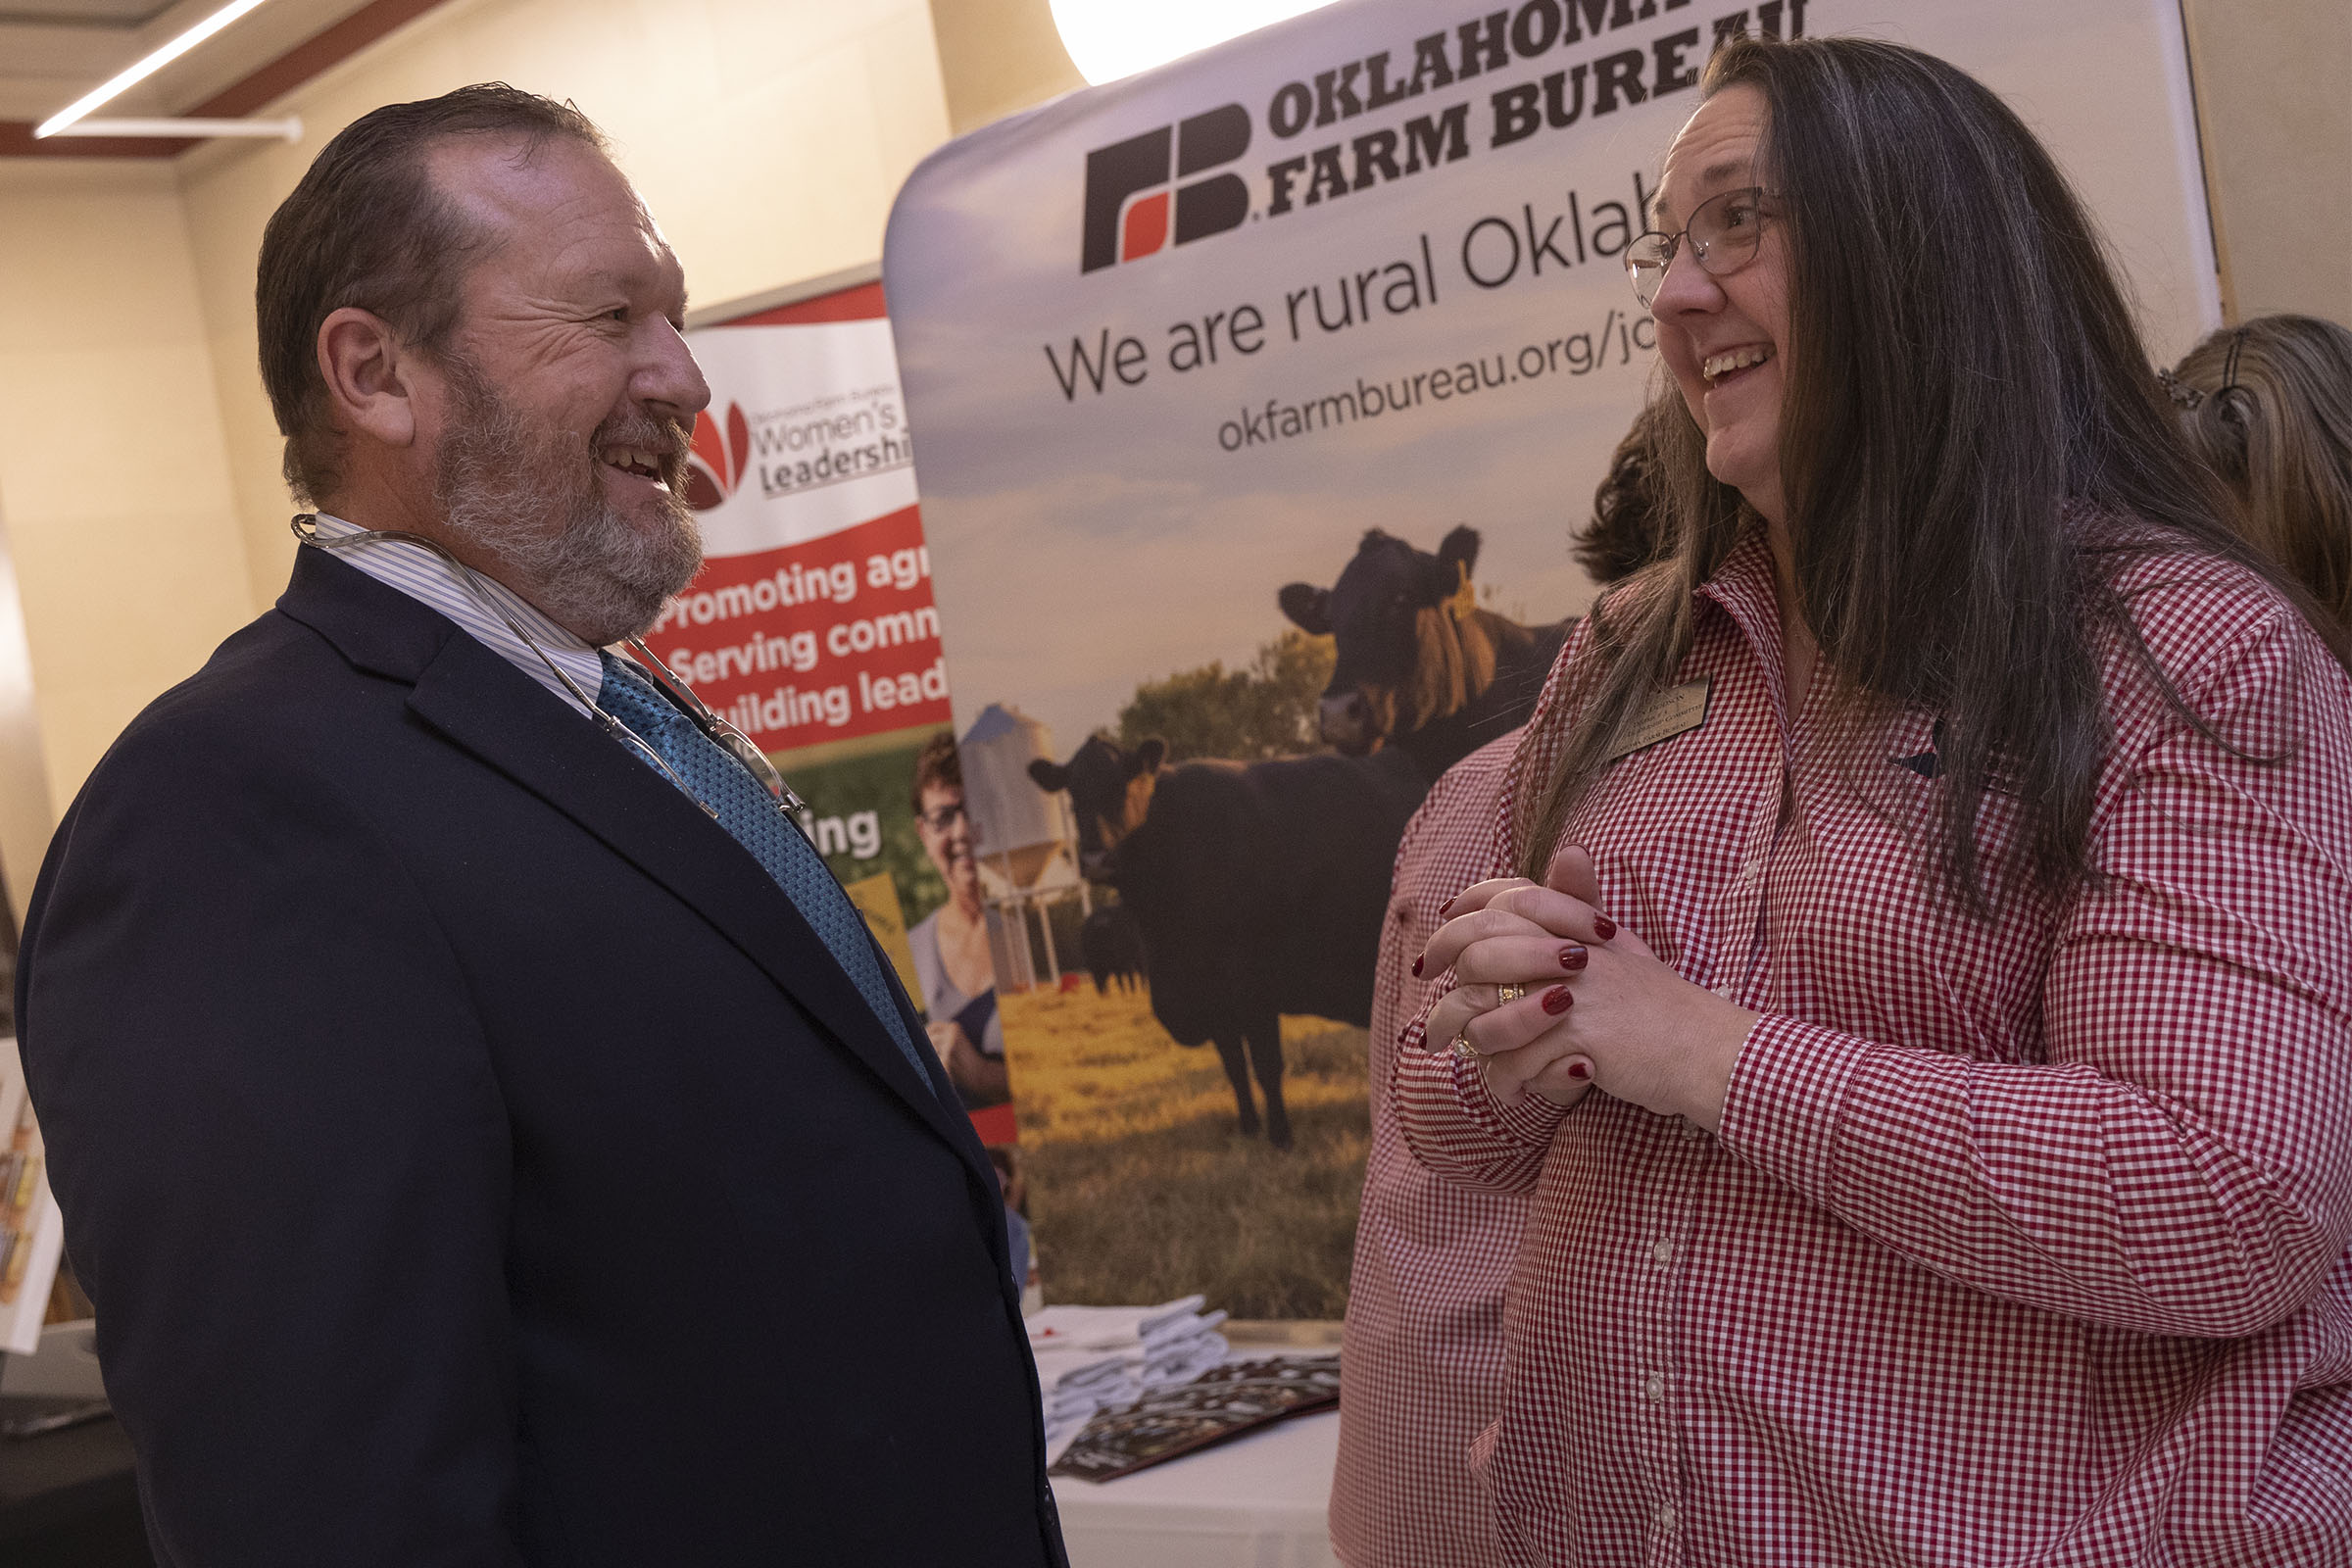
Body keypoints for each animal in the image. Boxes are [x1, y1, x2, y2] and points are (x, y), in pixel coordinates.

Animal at [1025, 738, 1420, 1152]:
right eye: (1073, 797)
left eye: (1124, 784)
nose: (1095, 859)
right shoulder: (1211, 998)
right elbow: (1233, 1066)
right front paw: (1248, 1127)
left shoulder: (1253, 985)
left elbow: (1266, 1066)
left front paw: (1281, 1136)